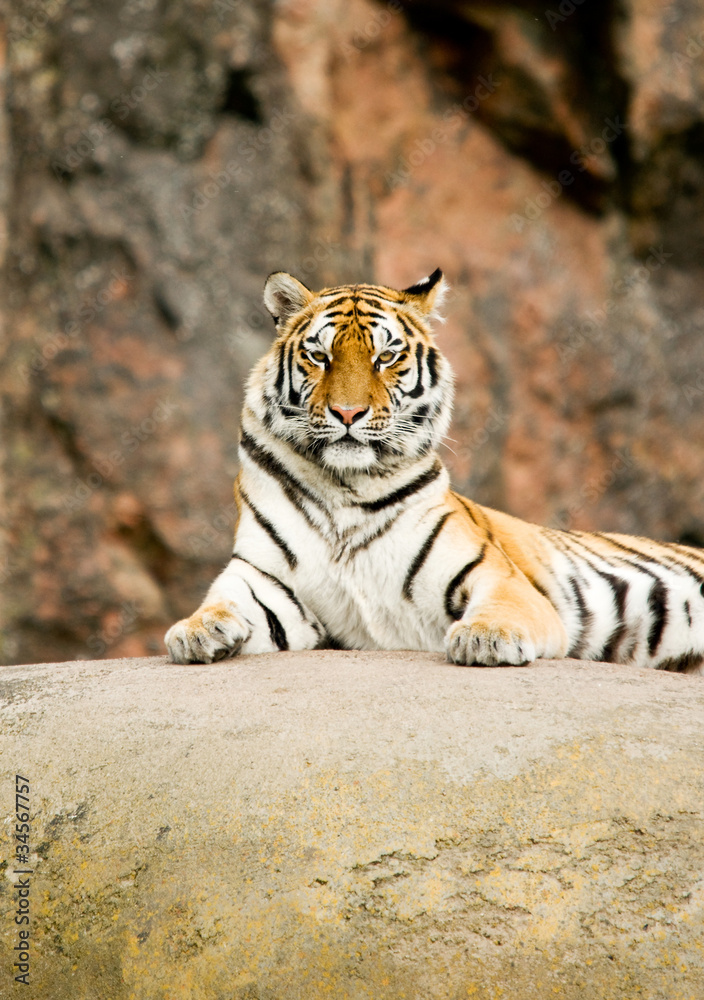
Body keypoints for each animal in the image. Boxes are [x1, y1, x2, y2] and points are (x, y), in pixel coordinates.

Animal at [165, 268, 704, 673]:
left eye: (385, 357)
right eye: (320, 356)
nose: (347, 413)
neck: (345, 487)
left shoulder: (497, 576)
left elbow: (501, 604)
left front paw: (486, 637)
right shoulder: (264, 577)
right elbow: (223, 599)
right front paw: (195, 631)